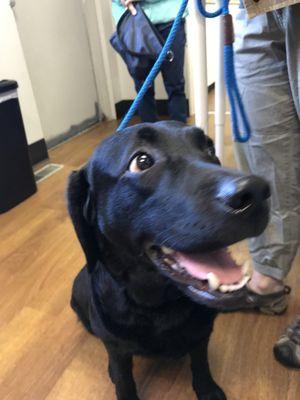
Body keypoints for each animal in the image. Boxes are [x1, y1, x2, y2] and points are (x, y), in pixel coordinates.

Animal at [68, 122, 270, 400]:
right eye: (141, 161)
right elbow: (123, 380)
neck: (158, 305)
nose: (257, 192)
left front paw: (207, 389)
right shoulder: (117, 348)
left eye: (209, 147)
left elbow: (201, 363)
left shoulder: (202, 333)